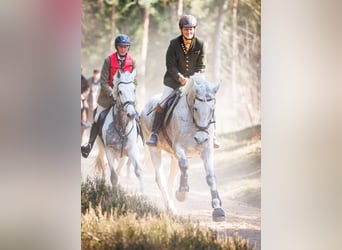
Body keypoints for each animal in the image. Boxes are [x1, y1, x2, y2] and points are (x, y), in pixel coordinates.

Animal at [139, 73, 224, 222]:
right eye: (196, 108)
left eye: (212, 109)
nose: (201, 138)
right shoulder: (179, 147)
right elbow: (184, 165)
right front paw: (182, 192)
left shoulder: (207, 150)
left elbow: (210, 177)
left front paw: (218, 209)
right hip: (155, 149)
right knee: (161, 178)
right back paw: (170, 208)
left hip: (173, 156)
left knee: (171, 178)